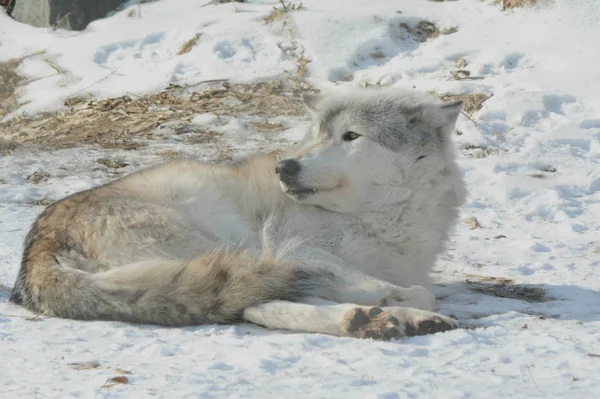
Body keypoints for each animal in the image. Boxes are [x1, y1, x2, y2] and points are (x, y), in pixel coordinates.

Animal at [11, 86, 466, 340]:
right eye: (316, 135)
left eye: (350, 136)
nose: (285, 167)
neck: (378, 218)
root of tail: (35, 249)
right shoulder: (294, 247)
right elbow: (413, 289)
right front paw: (396, 299)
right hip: (225, 243)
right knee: (254, 302)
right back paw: (381, 318)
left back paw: (374, 320)